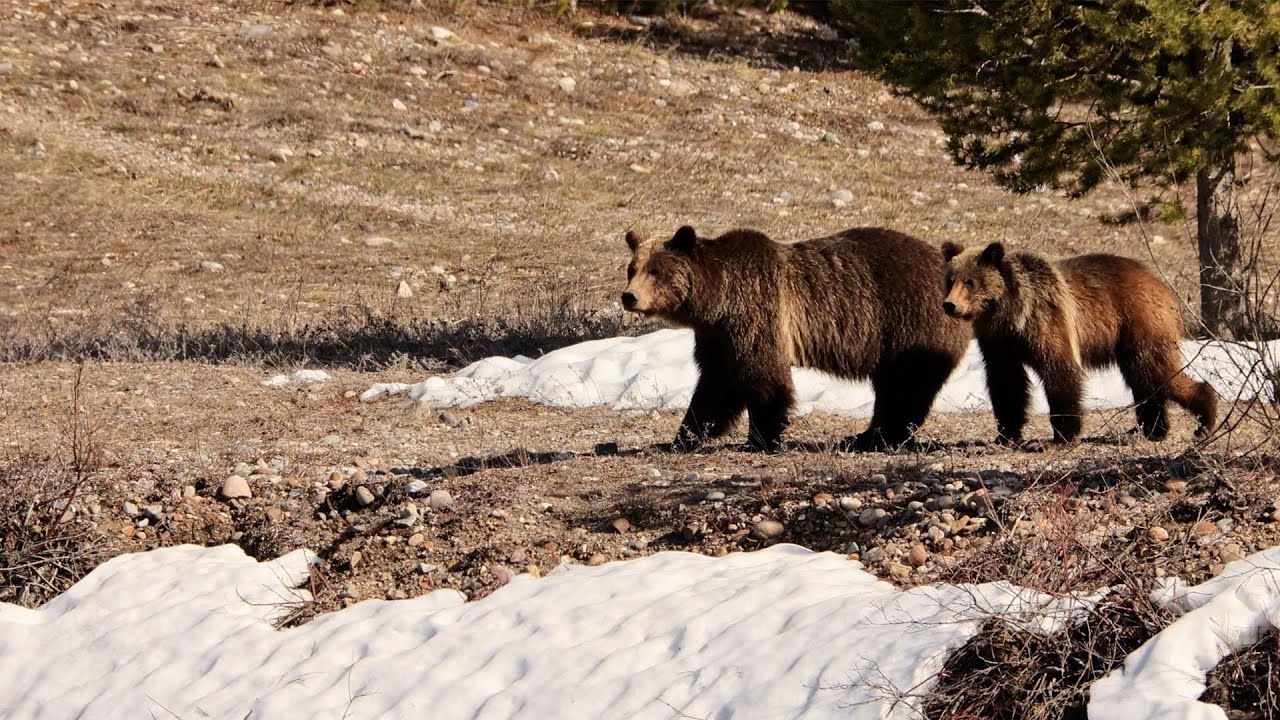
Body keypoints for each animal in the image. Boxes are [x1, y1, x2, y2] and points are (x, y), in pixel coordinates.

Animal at [621, 225, 970, 452]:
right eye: (632, 268)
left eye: (655, 271)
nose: (629, 297)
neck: (717, 299)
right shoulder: (717, 336)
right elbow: (715, 386)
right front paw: (683, 436)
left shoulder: (758, 312)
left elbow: (763, 377)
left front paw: (762, 438)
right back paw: (864, 436)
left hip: (908, 324)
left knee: (906, 387)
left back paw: (878, 438)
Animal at [940, 241, 1219, 445]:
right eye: (951, 280)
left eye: (970, 281)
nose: (950, 304)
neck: (1009, 313)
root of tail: (1160, 283)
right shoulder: (998, 342)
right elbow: (1006, 382)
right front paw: (1006, 434)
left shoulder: (1046, 323)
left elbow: (1059, 372)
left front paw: (1062, 435)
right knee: (1144, 380)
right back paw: (1153, 428)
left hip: (1140, 321)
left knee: (1156, 371)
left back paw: (1204, 418)